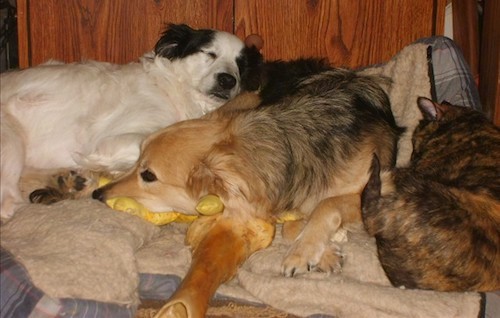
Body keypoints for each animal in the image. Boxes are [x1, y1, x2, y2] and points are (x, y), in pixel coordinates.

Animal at [0, 23, 264, 219]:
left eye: (241, 65)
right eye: (209, 53)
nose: (228, 80)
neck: (173, 90)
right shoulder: (109, 142)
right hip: (11, 142)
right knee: (9, 203)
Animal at [94, 66, 400, 316]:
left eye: (148, 175)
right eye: (138, 161)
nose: (97, 195)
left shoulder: (383, 188)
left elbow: (327, 205)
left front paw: (303, 252)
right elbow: (296, 224)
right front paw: (323, 251)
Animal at [362, 96, 498, 290]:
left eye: (414, 143)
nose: (413, 156)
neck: (469, 125)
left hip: (417, 192)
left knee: (369, 208)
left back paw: (375, 166)